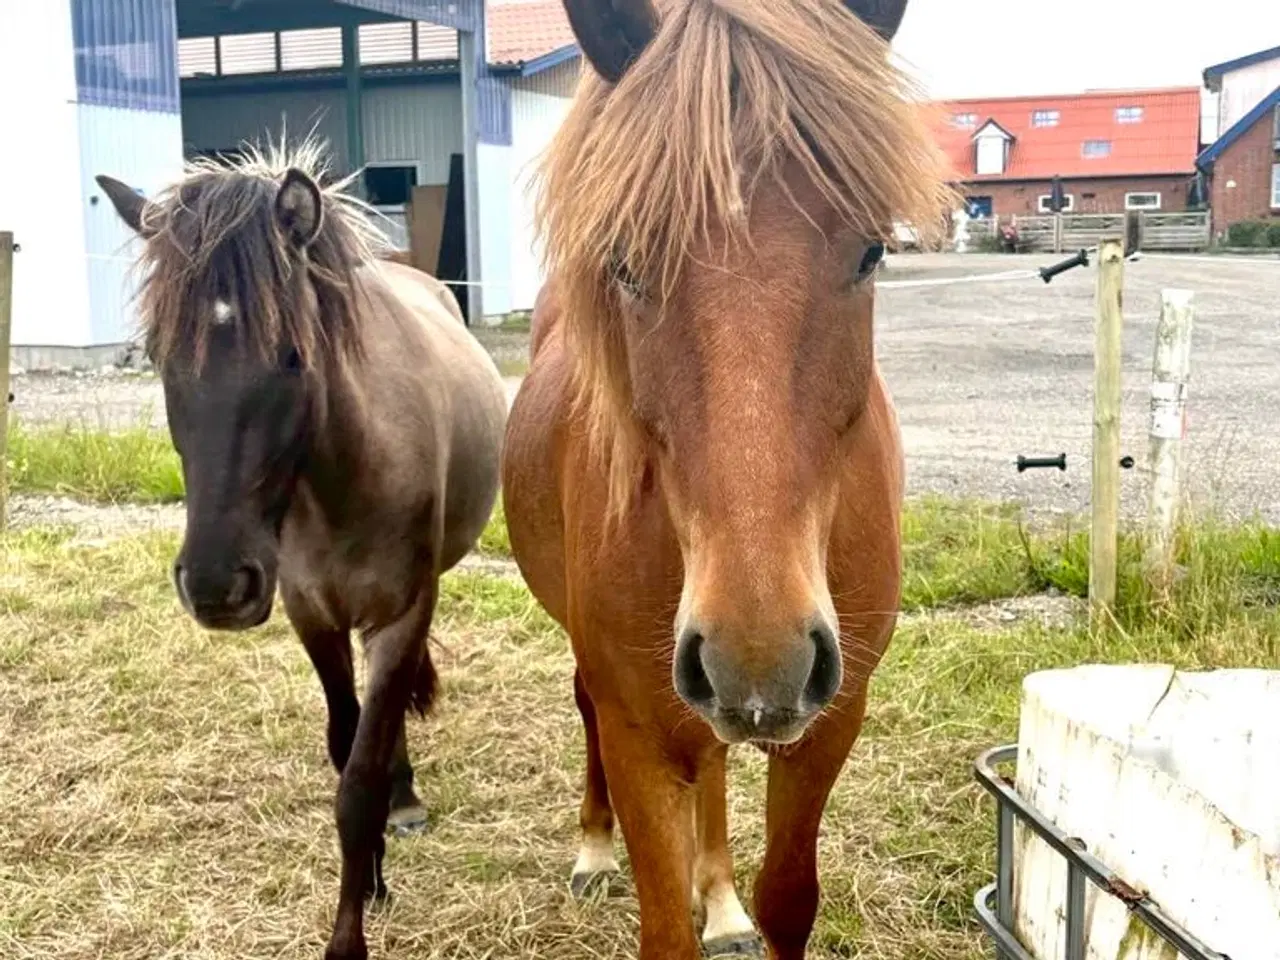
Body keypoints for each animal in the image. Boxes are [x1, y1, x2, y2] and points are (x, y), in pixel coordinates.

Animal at [97, 140, 506, 960]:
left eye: (292, 356)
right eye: (160, 355)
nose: (216, 585)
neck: (341, 477)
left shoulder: (401, 616)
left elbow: (359, 780)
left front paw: (350, 931)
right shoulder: (312, 615)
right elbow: (347, 752)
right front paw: (371, 880)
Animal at [504, 0, 947, 957]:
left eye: (872, 253)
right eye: (626, 264)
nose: (759, 656)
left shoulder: (828, 727)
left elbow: (789, 898)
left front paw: (734, 902)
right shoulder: (637, 733)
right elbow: (663, 924)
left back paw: (722, 898)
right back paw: (594, 851)